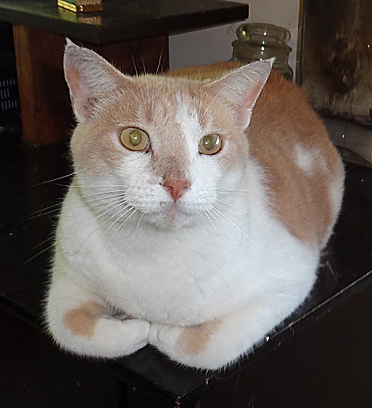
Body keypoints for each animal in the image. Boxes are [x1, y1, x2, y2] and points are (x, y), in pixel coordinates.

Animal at [45, 40, 344, 370]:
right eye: (133, 138)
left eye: (210, 144)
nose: (177, 183)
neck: (154, 253)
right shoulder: (67, 277)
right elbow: (67, 328)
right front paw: (134, 327)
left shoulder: (289, 279)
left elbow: (206, 347)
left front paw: (161, 332)